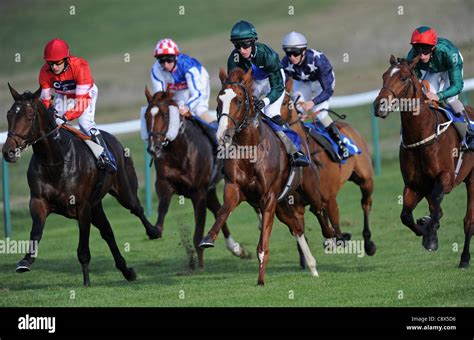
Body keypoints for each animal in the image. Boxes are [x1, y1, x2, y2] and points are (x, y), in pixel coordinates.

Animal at [1, 83, 161, 286]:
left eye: (29, 117)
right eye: (8, 115)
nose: (8, 152)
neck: (56, 162)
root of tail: (114, 140)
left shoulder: (82, 207)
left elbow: (83, 249)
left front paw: (86, 282)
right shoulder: (38, 202)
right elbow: (36, 232)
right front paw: (25, 261)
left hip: (124, 191)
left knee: (136, 209)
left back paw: (154, 231)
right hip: (97, 205)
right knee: (108, 232)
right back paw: (127, 271)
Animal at [143, 87, 250, 268]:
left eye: (165, 115)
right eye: (146, 116)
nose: (153, 147)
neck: (179, 152)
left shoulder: (198, 193)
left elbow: (198, 233)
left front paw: (198, 265)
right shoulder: (165, 185)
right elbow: (162, 209)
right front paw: (155, 230)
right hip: (211, 189)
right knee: (218, 209)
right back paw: (236, 248)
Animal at [198, 67, 324, 286]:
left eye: (239, 100)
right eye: (219, 99)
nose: (222, 135)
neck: (251, 149)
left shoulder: (269, 198)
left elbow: (263, 245)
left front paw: (261, 279)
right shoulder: (235, 189)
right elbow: (223, 212)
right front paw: (208, 239)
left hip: (308, 190)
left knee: (321, 209)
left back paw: (336, 238)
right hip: (282, 206)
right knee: (297, 228)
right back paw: (312, 266)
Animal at [282, 79, 378, 260]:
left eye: (284, 102)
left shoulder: (329, 197)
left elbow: (333, 221)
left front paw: (340, 238)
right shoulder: (297, 206)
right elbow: (304, 226)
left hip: (365, 179)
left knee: (366, 203)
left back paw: (368, 243)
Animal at [374, 55, 474, 268]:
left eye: (404, 78)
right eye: (384, 76)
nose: (379, 106)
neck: (422, 133)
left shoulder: (445, 178)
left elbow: (437, 204)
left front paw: (430, 238)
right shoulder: (414, 185)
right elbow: (405, 216)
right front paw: (424, 230)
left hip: (472, 179)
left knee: (468, 221)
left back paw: (464, 258)